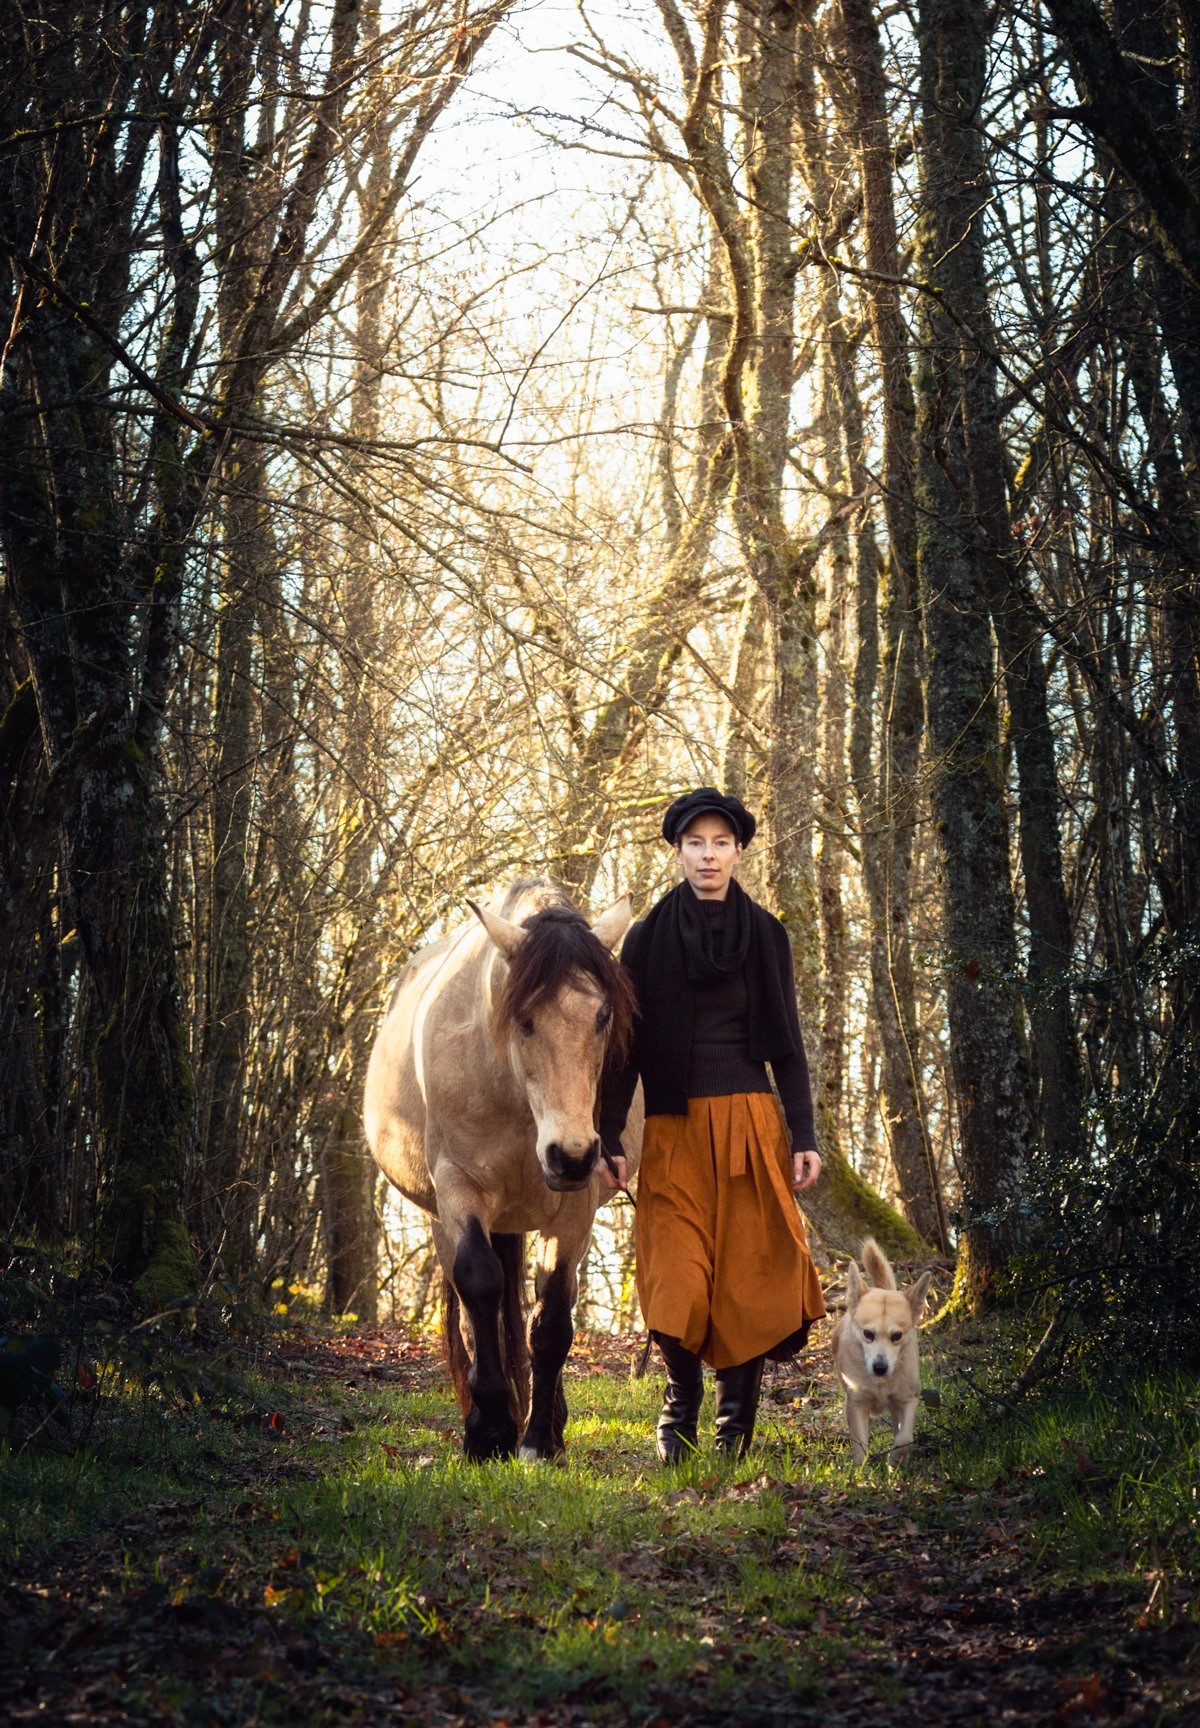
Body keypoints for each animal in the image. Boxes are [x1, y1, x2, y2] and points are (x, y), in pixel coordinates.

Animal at [363, 879, 641, 1462]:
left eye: (603, 1015)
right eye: (525, 1019)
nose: (571, 1155)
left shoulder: (574, 1208)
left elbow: (552, 1314)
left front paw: (538, 1440)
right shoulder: (458, 1189)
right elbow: (481, 1285)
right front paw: (489, 1430)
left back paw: (549, 1419)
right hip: (441, 1220)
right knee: (474, 1306)